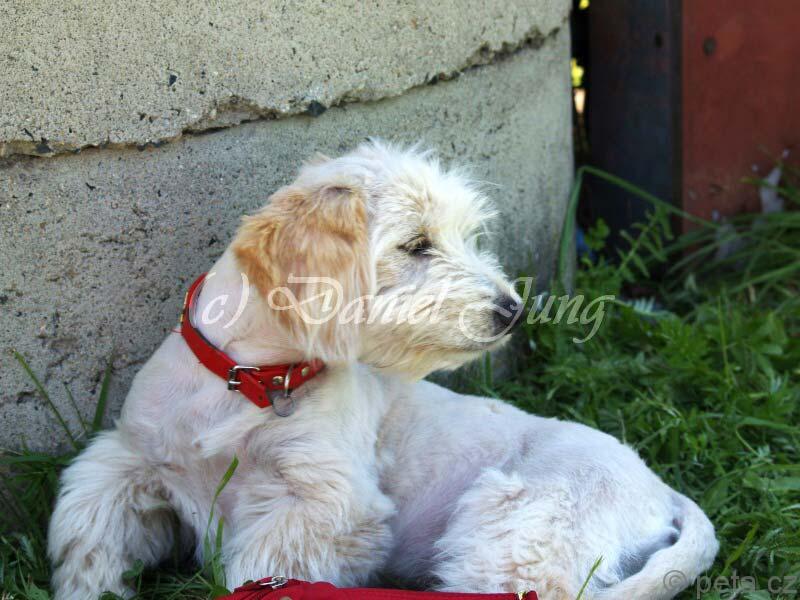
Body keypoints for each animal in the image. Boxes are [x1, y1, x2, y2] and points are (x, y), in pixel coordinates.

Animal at [48, 141, 718, 599]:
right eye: (416, 244)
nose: (512, 310)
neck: (252, 383)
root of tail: (661, 491)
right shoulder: (126, 462)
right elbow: (90, 539)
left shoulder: (327, 509)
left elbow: (256, 571)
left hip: (514, 536)